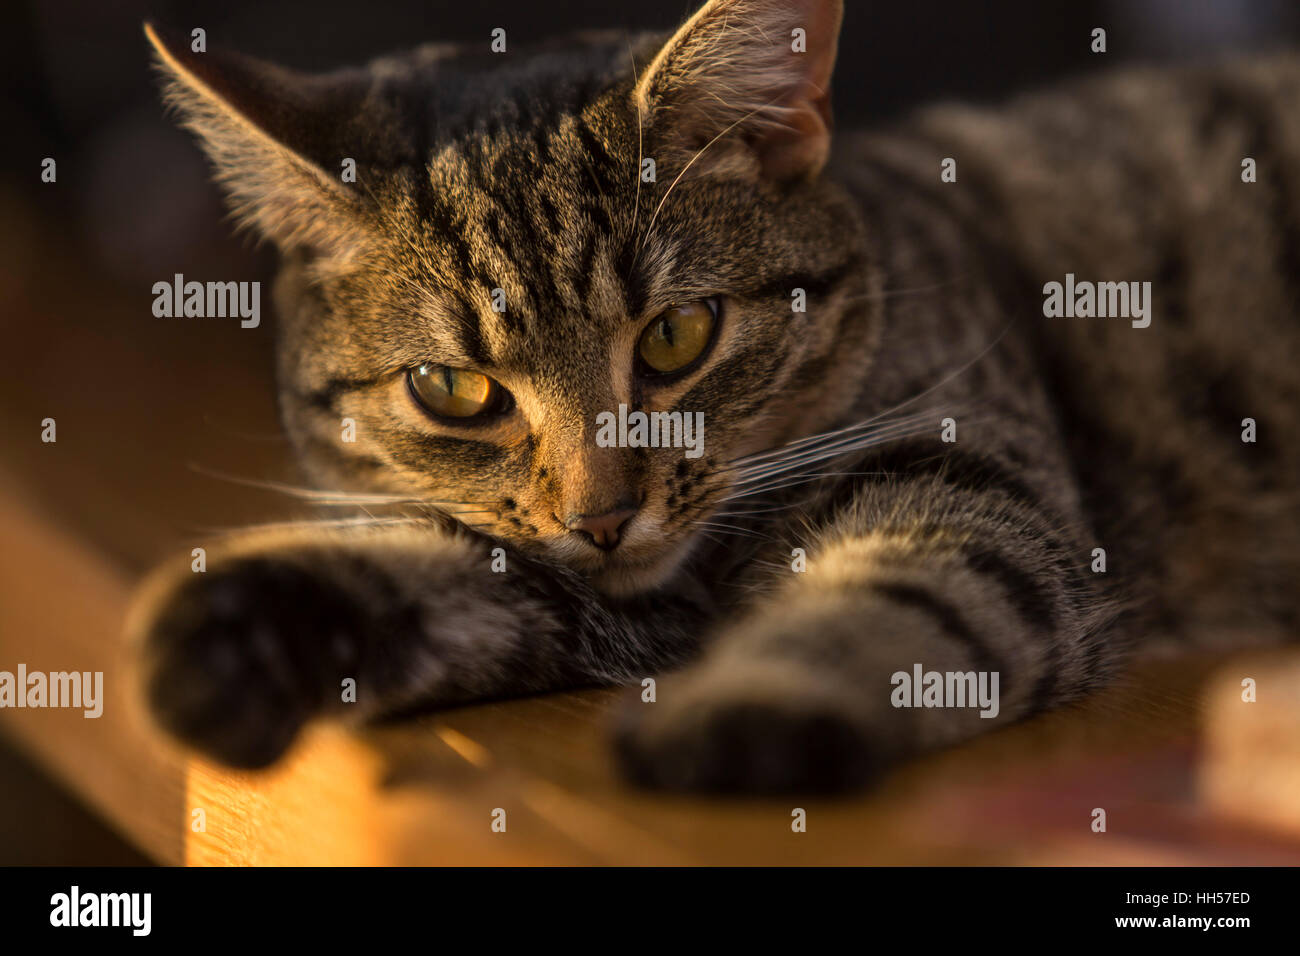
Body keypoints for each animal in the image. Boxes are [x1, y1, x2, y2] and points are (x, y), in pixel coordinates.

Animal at [134, 0, 1300, 790]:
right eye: (451, 389)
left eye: (676, 336)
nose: (603, 516)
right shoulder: (591, 586)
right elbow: (446, 566)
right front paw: (225, 636)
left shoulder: (969, 472)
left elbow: (906, 595)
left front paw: (750, 704)